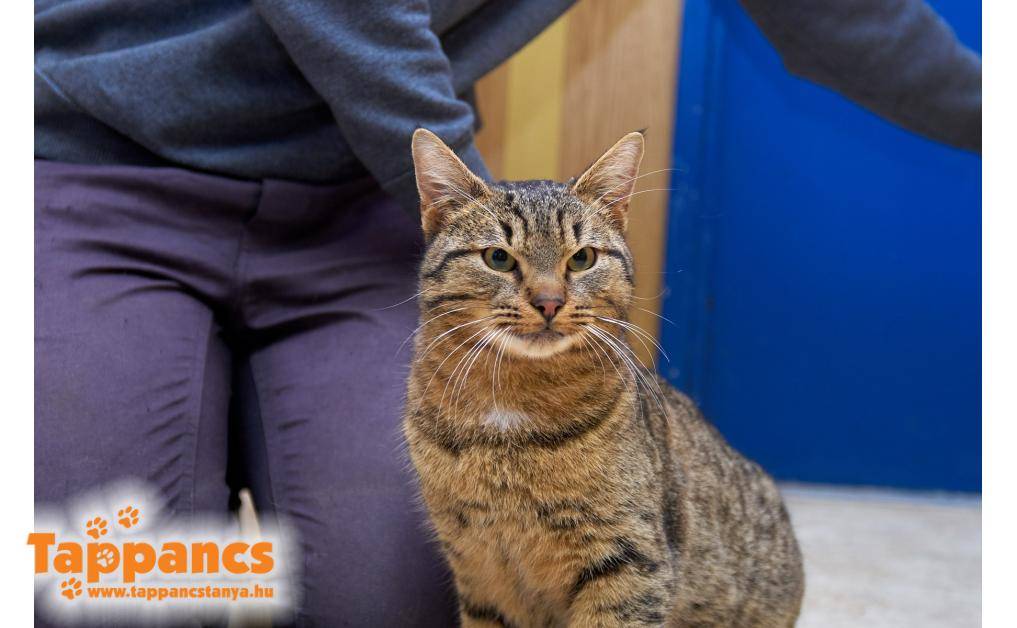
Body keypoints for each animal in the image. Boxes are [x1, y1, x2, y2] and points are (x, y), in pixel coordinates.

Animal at [403, 128, 804, 627]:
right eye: (497, 258)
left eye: (582, 259)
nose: (549, 301)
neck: (511, 410)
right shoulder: (481, 573)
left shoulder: (629, 562)